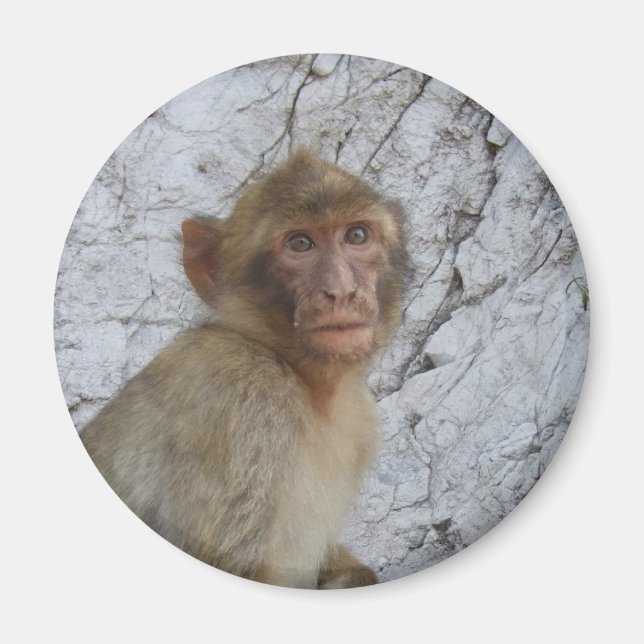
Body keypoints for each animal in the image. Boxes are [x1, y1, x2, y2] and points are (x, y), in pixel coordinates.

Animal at [80, 150, 408, 589]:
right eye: (300, 244)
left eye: (356, 236)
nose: (342, 292)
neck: (302, 378)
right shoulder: (241, 394)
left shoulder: (359, 416)